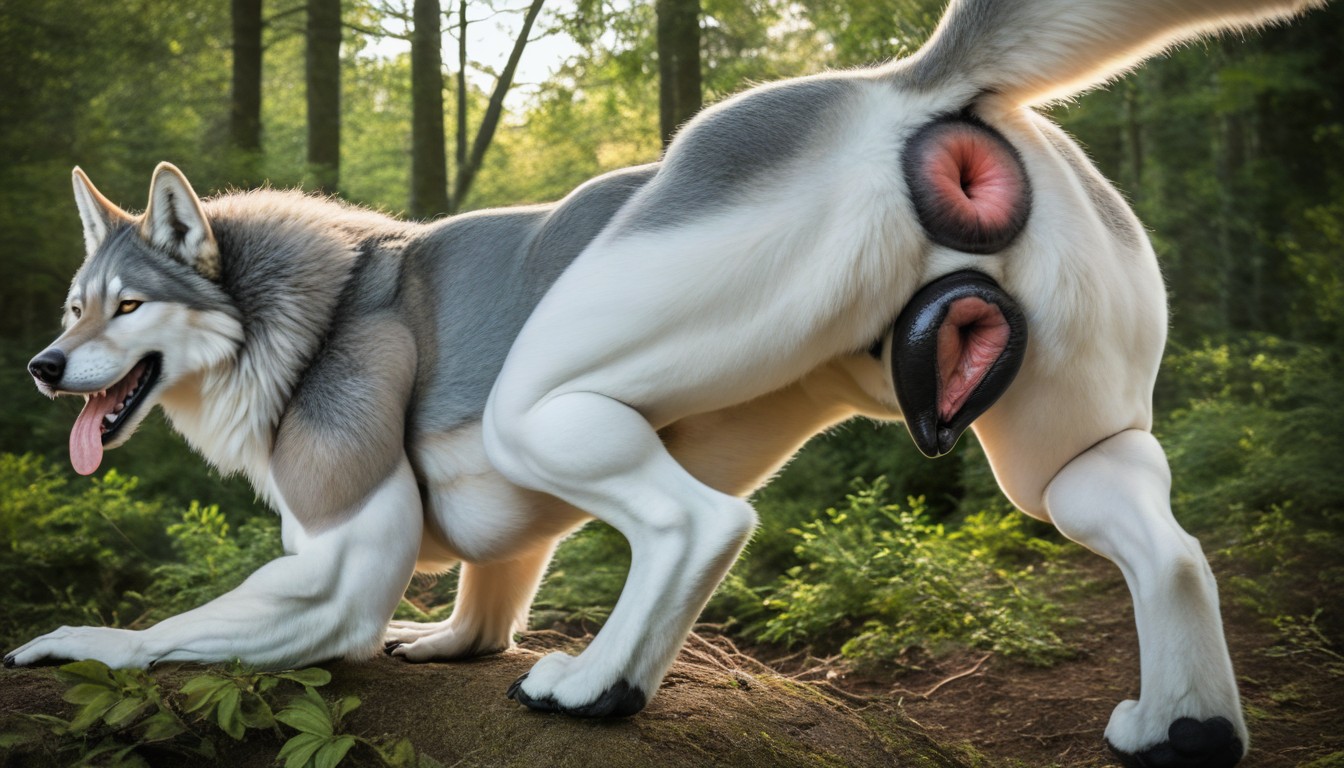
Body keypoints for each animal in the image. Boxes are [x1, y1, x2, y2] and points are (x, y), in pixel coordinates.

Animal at [11, 0, 1322, 764]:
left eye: (128, 307)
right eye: (75, 306)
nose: (43, 365)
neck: (294, 310)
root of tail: (899, 89)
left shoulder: (340, 566)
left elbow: (177, 631)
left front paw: (69, 644)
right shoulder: (486, 544)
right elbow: (491, 591)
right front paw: (454, 644)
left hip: (549, 398)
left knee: (701, 525)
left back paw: (599, 687)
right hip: (1062, 453)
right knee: (1166, 546)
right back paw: (1184, 730)